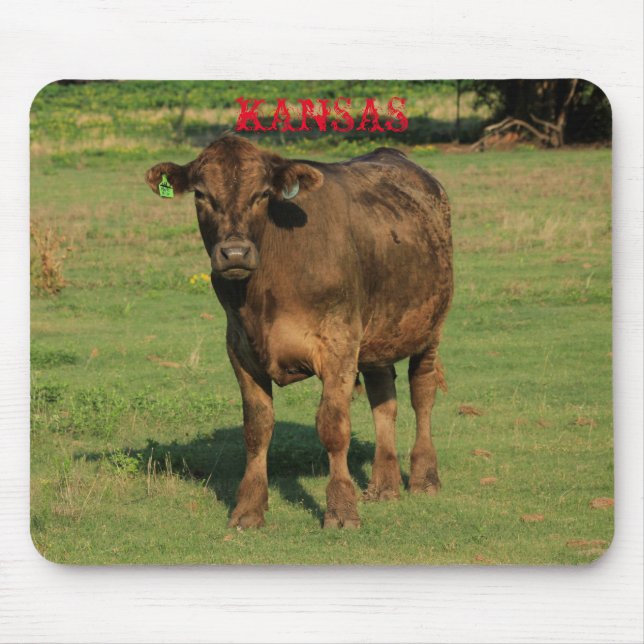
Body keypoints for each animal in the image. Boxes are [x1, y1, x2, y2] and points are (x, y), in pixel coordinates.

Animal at [145, 135, 453, 529]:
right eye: (200, 194)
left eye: (262, 194)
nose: (234, 253)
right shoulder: (240, 348)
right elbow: (257, 428)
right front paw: (249, 509)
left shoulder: (338, 344)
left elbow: (334, 427)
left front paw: (341, 509)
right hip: (377, 332)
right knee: (384, 398)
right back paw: (384, 484)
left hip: (430, 326)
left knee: (422, 393)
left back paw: (424, 477)